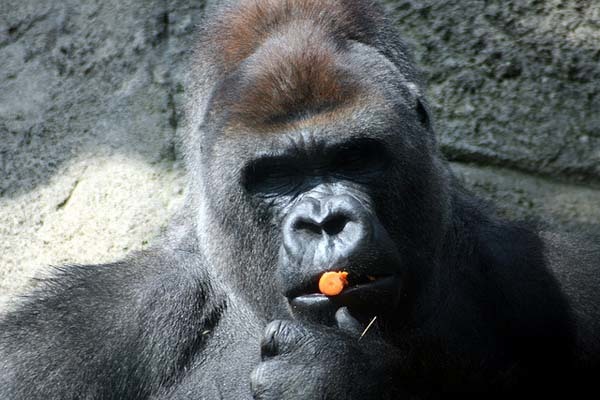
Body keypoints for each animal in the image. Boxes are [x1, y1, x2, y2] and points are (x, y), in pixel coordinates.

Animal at [1, 0, 600, 398]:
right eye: (276, 175)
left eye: (355, 156)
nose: (325, 221)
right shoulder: (59, 343)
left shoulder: (567, 275)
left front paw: (343, 374)